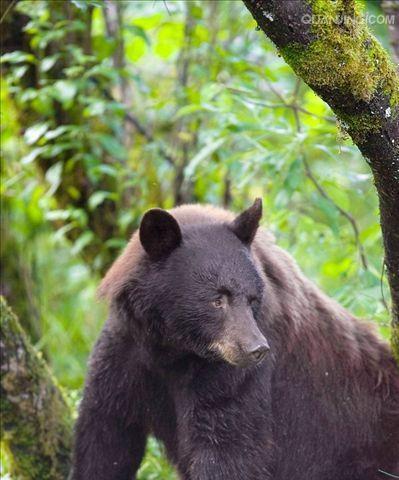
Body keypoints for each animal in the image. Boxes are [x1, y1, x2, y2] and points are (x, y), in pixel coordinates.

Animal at [72, 200, 399, 480]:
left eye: (252, 298)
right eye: (217, 299)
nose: (257, 349)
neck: (171, 349)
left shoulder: (231, 378)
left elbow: (227, 447)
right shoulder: (124, 353)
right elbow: (104, 437)